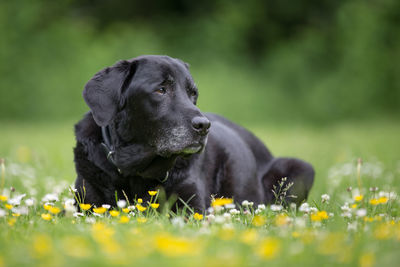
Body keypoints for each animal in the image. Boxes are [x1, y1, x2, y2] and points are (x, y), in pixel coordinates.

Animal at [73, 55, 314, 210]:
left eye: (193, 94)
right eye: (161, 90)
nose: (204, 125)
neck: (136, 170)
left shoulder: (191, 207)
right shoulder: (87, 204)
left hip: (301, 168)